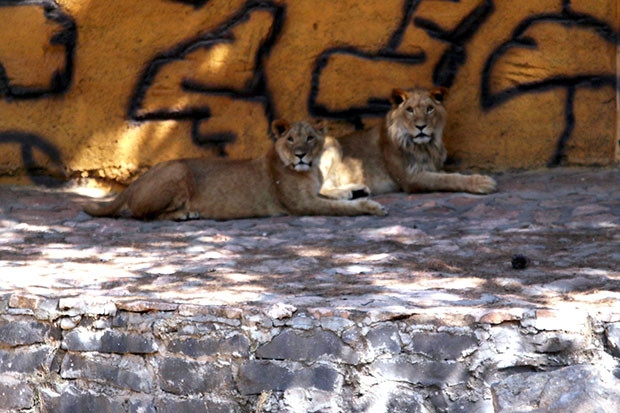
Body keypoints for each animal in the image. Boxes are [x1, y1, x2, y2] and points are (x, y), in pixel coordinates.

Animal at [80, 119, 386, 220]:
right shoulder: (302, 205)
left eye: (310, 138)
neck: (309, 170)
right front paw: (371, 206)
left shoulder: (311, 194)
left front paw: (355, 190)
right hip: (178, 170)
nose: (300, 154)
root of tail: (134, 183)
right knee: (143, 215)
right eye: (290, 139)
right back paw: (184, 214)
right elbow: (339, 207)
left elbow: (331, 193)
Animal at [320, 85, 498, 196]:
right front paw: (482, 182)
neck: (426, 147)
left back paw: (358, 190)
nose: (421, 126)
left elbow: (447, 174)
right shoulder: (410, 178)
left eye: (429, 109)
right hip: (332, 144)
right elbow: (446, 179)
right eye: (410, 110)